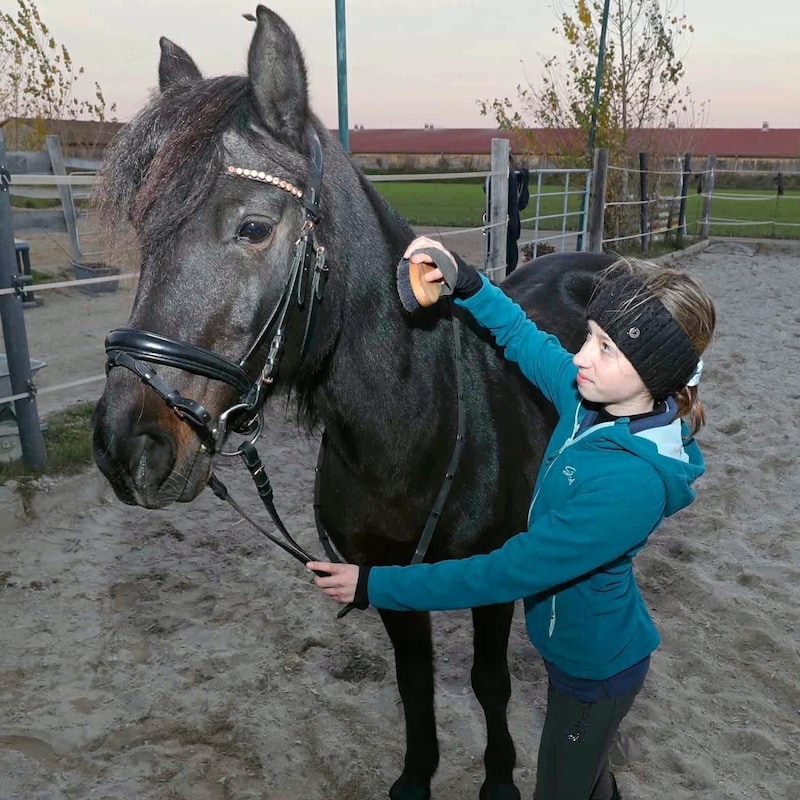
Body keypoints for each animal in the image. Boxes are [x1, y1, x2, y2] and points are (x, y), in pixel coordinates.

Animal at [94, 6, 616, 800]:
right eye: (145, 230)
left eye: (254, 228)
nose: (126, 448)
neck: (409, 436)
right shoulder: (385, 580)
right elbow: (414, 683)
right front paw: (415, 776)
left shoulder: (495, 582)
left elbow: (489, 682)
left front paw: (499, 779)